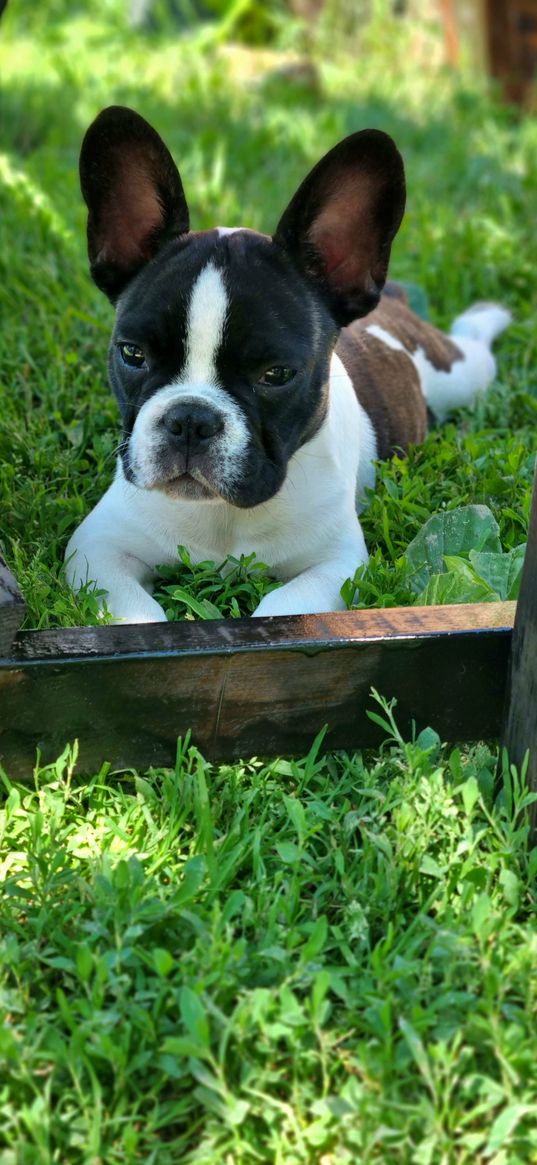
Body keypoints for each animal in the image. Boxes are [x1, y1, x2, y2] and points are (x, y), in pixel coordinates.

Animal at [65, 104, 505, 624]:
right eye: (132, 354)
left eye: (276, 375)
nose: (190, 419)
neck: (223, 517)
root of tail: (392, 302)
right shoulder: (97, 548)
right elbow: (137, 615)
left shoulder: (338, 565)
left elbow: (280, 605)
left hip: (459, 375)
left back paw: (488, 315)